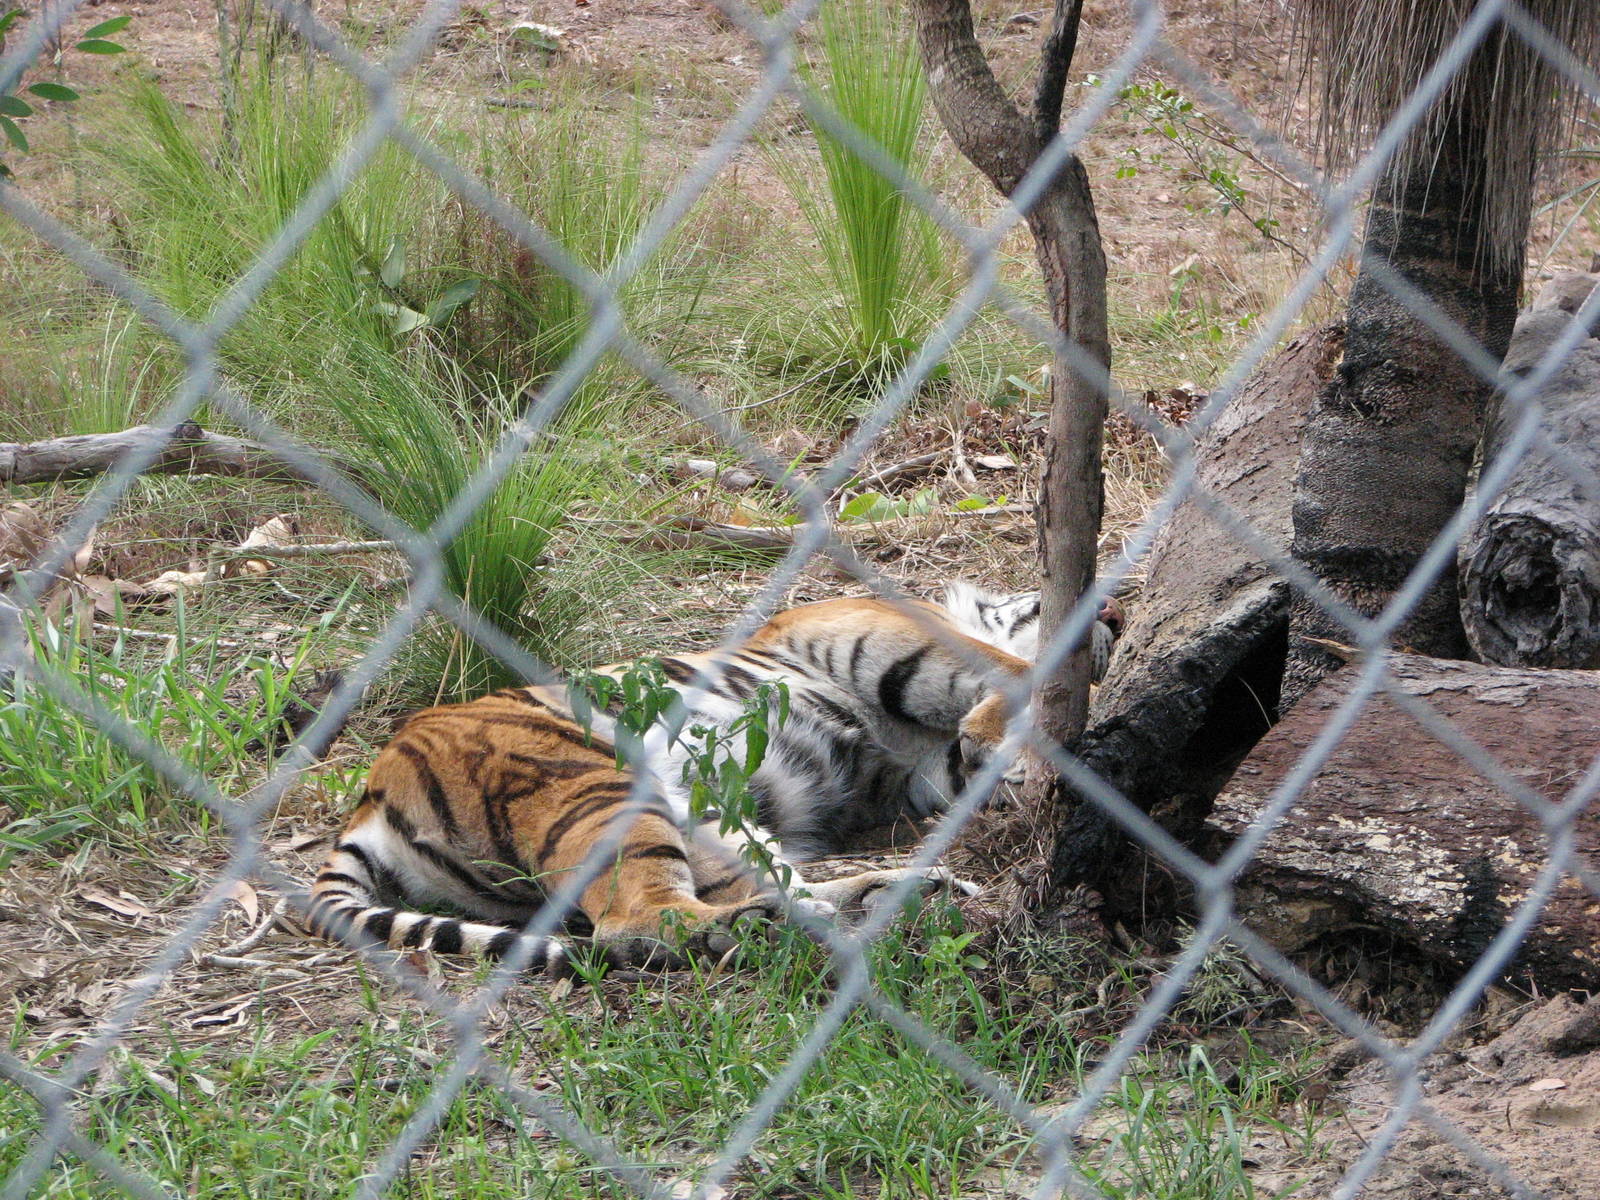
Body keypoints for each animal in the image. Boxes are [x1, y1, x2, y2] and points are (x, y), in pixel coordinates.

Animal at [305, 583, 1122, 975]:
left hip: (702, 818)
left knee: (760, 888)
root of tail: (370, 798)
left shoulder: (915, 770)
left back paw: (897, 897)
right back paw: (782, 923)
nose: (1115, 606)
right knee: (638, 924)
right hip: (597, 787)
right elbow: (1012, 667)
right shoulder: (895, 633)